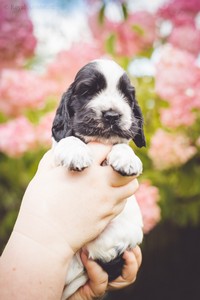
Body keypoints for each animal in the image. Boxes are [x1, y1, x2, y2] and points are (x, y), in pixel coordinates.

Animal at [51, 59, 145, 300]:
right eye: (87, 91)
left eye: (127, 96)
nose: (112, 115)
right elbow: (68, 139)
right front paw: (76, 151)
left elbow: (120, 143)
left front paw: (127, 158)